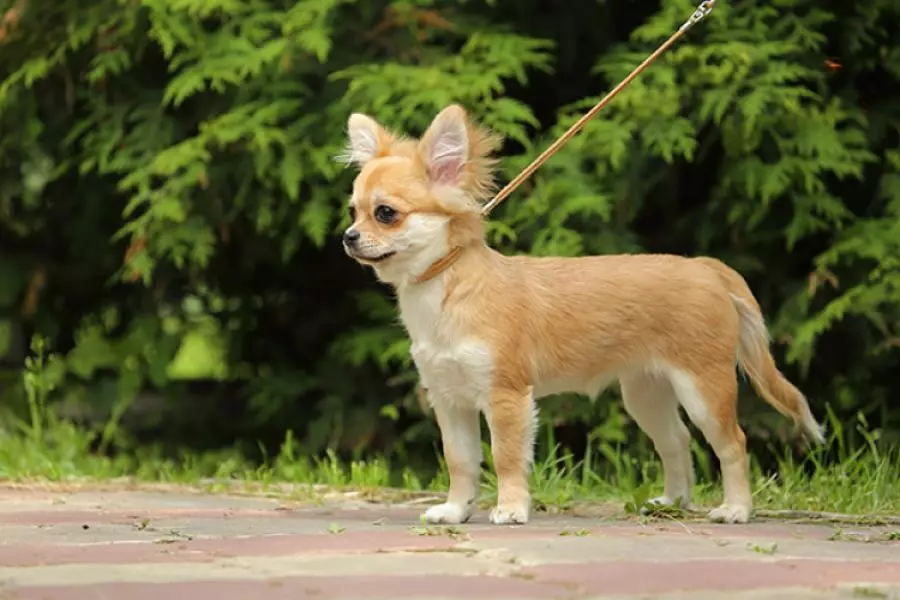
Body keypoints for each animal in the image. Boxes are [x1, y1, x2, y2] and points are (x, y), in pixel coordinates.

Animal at [342, 105, 828, 528]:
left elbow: (505, 457)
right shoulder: (450, 399)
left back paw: (736, 509)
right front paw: (456, 511)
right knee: (676, 441)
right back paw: (673, 501)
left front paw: (511, 509)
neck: (443, 290)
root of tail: (706, 268)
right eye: (354, 211)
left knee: (732, 443)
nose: (347, 236)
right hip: (647, 393)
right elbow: (461, 460)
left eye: (386, 214)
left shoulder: (506, 397)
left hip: (704, 389)